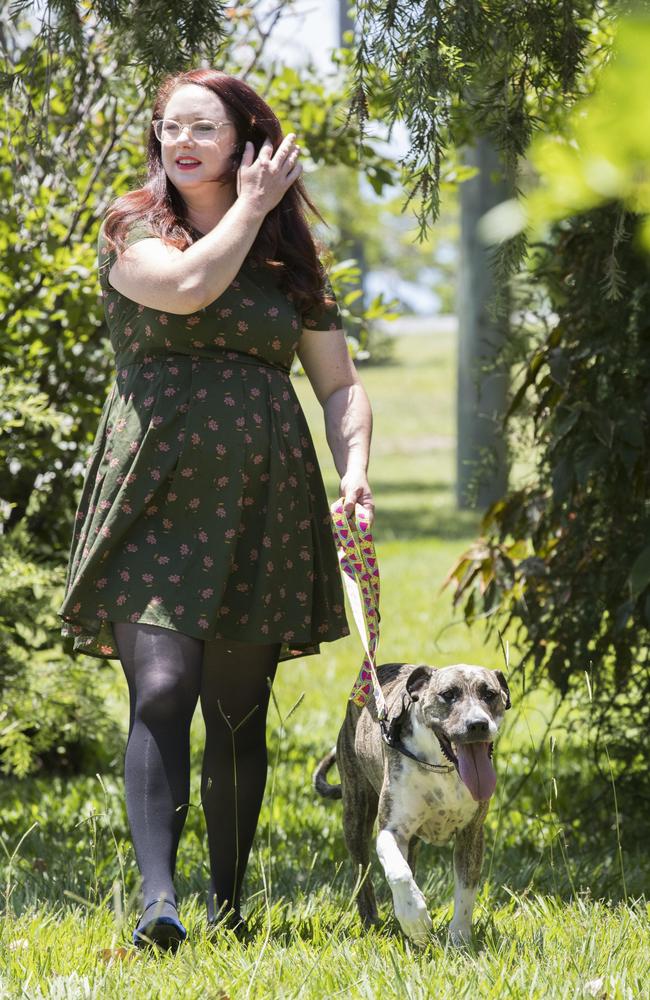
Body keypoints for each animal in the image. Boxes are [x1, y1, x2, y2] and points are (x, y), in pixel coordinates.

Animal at [312, 664, 508, 944]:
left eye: (489, 694)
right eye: (448, 694)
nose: (478, 724)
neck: (442, 767)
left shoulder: (471, 834)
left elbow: (466, 888)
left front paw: (459, 938)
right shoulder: (392, 830)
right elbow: (399, 872)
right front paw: (415, 919)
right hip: (355, 814)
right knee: (363, 873)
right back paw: (372, 920)